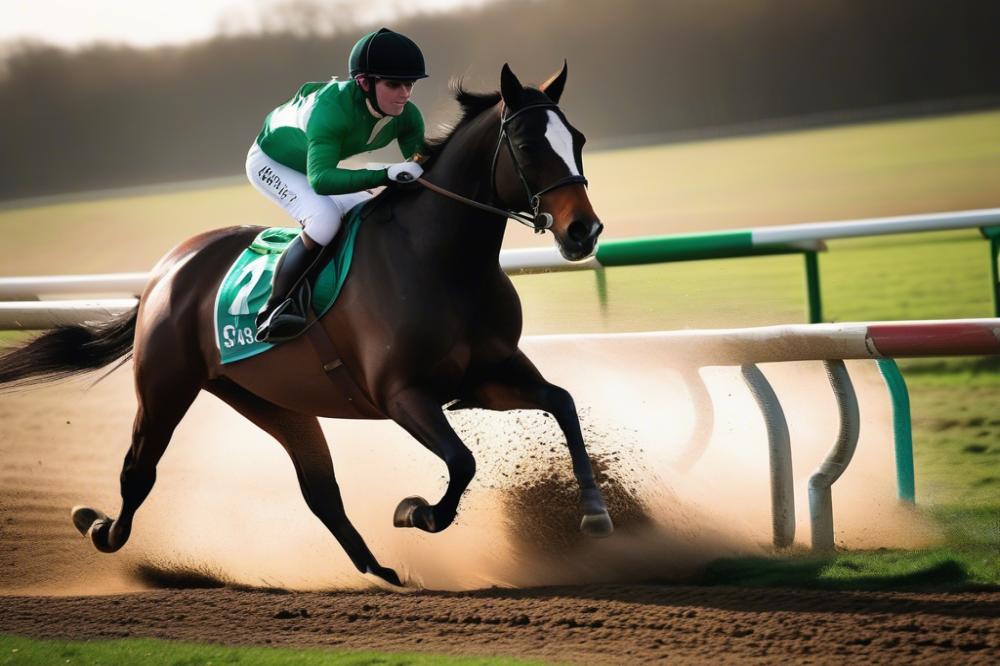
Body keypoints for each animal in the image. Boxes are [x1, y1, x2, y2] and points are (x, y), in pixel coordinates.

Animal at [0, 63, 608, 588]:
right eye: (527, 145)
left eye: (577, 138)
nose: (584, 231)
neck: (441, 261)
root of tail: (164, 272)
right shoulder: (402, 394)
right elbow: (462, 460)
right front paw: (416, 512)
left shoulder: (485, 377)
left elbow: (563, 403)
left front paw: (596, 512)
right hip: (165, 386)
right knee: (138, 471)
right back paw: (100, 529)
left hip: (269, 398)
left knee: (319, 489)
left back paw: (381, 571)